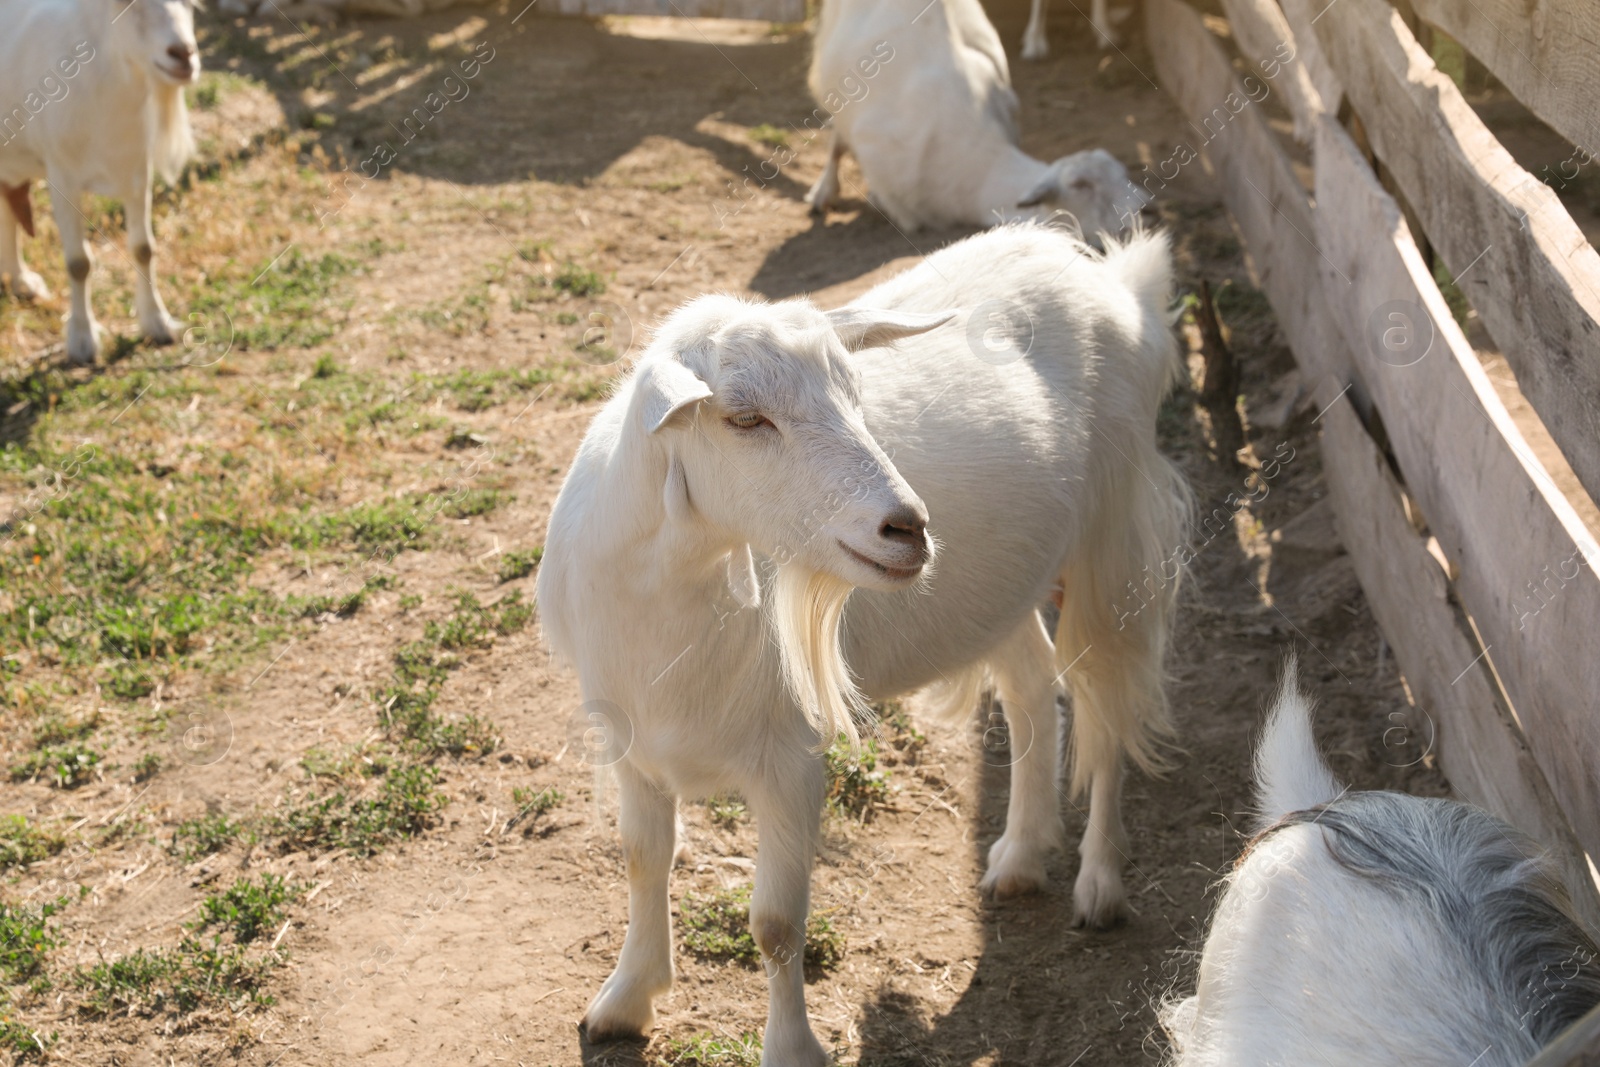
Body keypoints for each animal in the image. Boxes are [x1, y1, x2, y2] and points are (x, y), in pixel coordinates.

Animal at [0, 0, 200, 363]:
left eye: (191, 5)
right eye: (130, 6)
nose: (183, 54)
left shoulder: (137, 171)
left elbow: (143, 249)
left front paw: (157, 323)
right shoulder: (62, 177)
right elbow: (78, 262)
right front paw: (82, 340)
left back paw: (21, 281)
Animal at [537, 220, 1190, 1062]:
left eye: (855, 394)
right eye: (743, 416)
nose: (906, 526)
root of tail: (1105, 272)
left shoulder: (789, 755)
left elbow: (776, 923)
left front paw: (790, 1047)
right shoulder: (631, 736)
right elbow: (643, 859)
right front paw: (623, 1001)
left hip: (1113, 534)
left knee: (1108, 700)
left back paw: (1100, 882)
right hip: (1004, 582)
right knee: (1030, 683)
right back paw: (1020, 853)